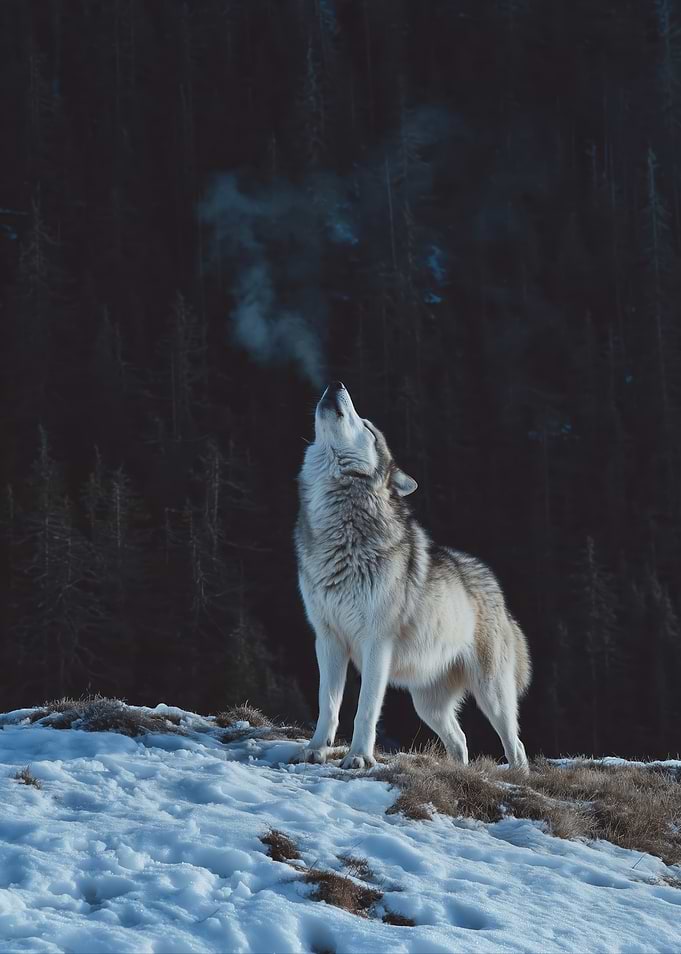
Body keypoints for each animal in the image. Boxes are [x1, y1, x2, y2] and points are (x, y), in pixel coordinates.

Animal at [294, 382, 531, 771]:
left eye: (367, 426)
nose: (337, 385)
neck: (341, 531)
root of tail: (497, 590)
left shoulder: (376, 645)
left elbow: (364, 711)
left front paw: (358, 757)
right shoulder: (327, 640)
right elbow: (327, 706)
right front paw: (315, 750)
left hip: (491, 695)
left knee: (516, 744)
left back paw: (519, 776)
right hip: (427, 705)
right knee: (460, 739)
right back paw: (460, 772)